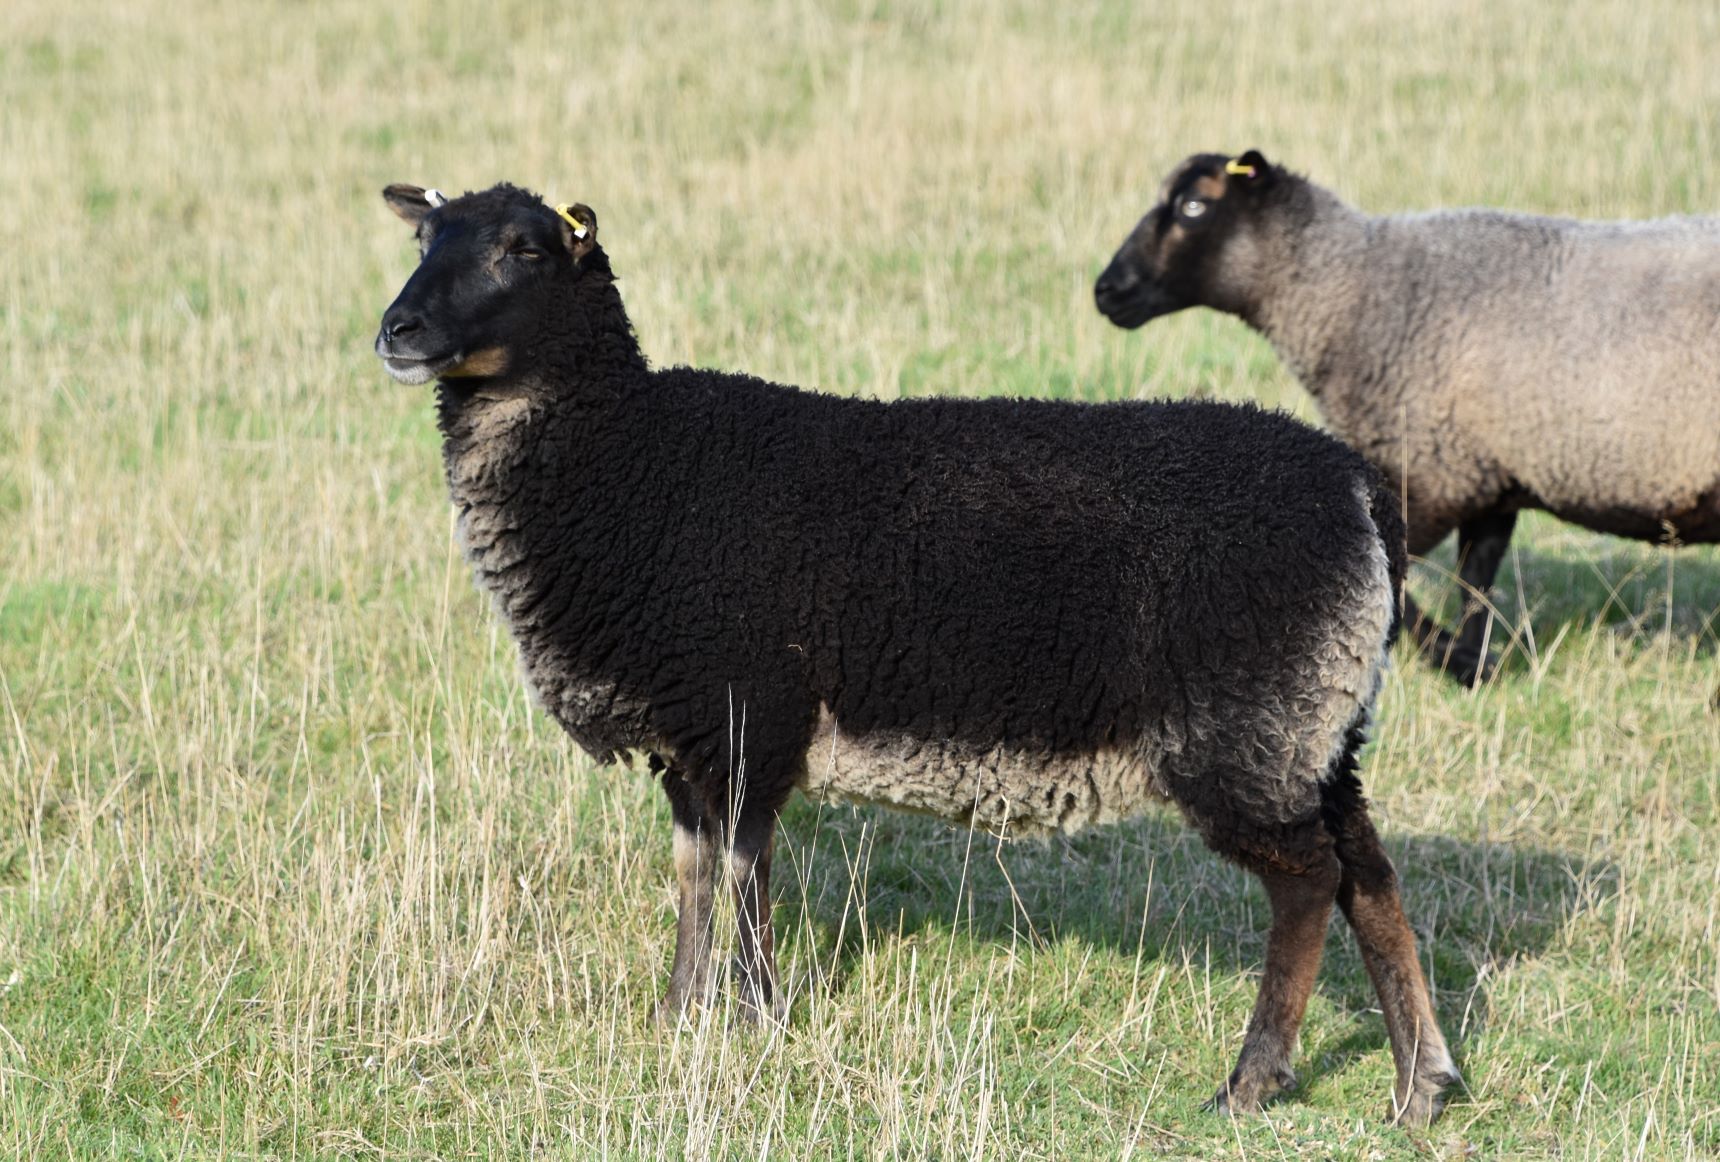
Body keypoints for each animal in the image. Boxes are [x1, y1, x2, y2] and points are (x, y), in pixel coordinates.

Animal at [369, 181, 1458, 1127]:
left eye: (523, 250)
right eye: (423, 240)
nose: (396, 333)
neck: (628, 460)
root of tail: (1355, 488)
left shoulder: (751, 714)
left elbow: (743, 872)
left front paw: (755, 1020)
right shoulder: (691, 739)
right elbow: (694, 872)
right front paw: (677, 1016)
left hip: (1243, 731)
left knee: (1309, 882)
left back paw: (1250, 1081)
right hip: (1316, 723)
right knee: (1370, 876)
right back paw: (1421, 1085)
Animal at [1100, 151, 1720, 684]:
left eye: (1193, 206)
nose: (1105, 291)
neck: (1349, 292)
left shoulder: (1432, 475)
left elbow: (1400, 583)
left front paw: (1456, 660)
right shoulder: (1486, 478)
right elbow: (1475, 582)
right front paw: (1474, 662)